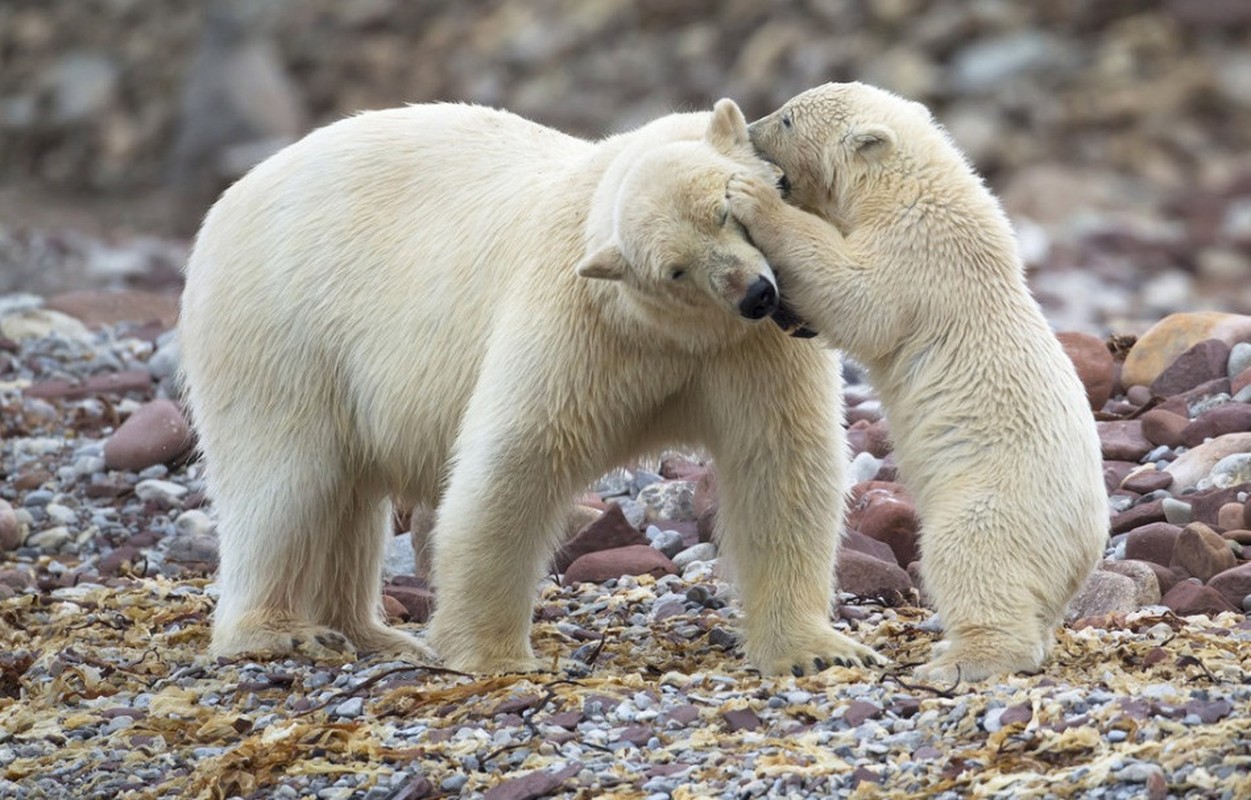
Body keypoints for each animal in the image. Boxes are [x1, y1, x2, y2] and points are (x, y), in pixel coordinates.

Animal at [181, 98, 885, 676]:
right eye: (675, 269)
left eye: (727, 212)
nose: (754, 294)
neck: (676, 334)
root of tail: (228, 199)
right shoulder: (582, 323)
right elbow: (518, 459)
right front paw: (492, 655)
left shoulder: (751, 347)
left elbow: (779, 462)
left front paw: (817, 651)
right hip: (280, 326)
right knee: (285, 481)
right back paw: (280, 632)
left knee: (345, 496)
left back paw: (368, 632)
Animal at [730, 81, 1110, 681]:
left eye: (787, 118)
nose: (751, 128)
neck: (913, 184)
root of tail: (1084, 556)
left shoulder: (919, 250)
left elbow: (861, 298)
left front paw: (753, 197)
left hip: (996, 501)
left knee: (969, 555)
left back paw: (957, 660)